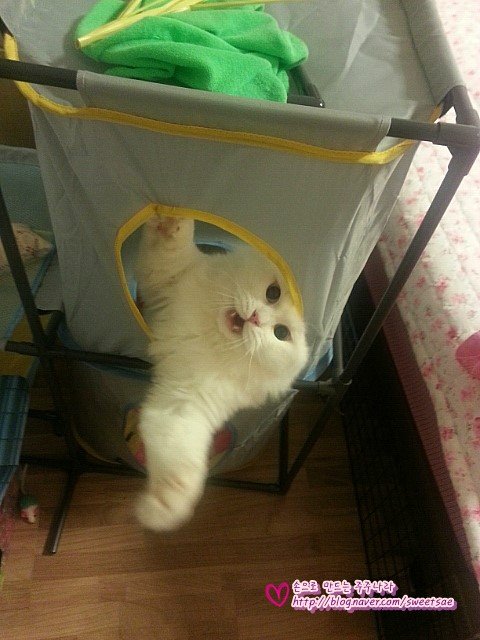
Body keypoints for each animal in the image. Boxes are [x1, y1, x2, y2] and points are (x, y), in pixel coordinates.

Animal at [134, 214, 309, 531]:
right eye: (273, 293)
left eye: (280, 333)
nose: (256, 318)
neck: (211, 335)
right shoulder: (170, 277)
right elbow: (169, 249)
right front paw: (173, 221)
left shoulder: (186, 404)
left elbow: (180, 463)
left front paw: (163, 510)